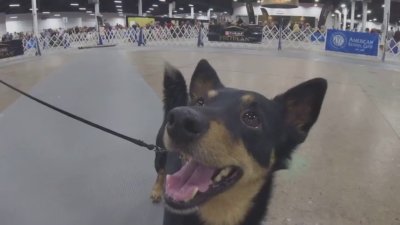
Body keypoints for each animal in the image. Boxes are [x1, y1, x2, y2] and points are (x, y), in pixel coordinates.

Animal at [150, 59, 328, 225]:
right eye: (200, 102)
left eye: (251, 118)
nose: (179, 120)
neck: (222, 214)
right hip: (160, 153)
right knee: (161, 172)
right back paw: (157, 190)